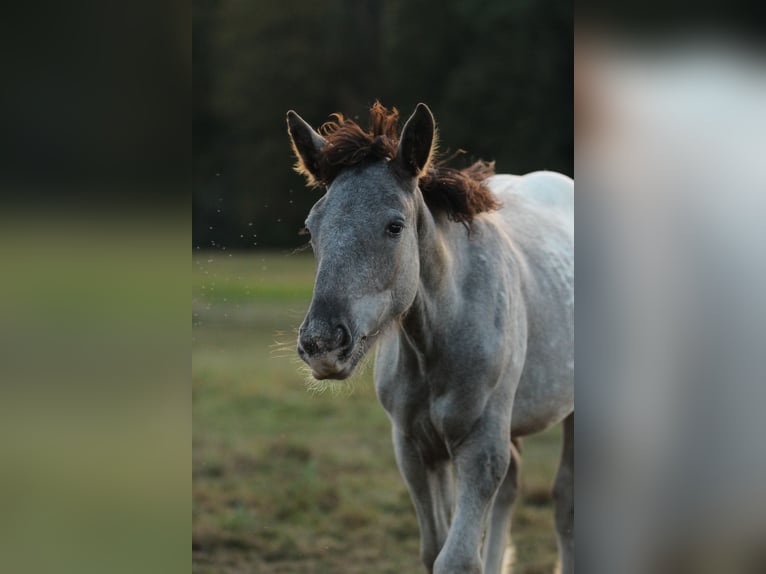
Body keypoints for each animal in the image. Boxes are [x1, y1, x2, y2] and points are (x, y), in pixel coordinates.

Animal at [284, 103, 572, 574]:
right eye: (311, 228)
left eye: (395, 226)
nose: (322, 344)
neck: (438, 337)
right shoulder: (415, 449)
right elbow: (434, 547)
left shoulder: (480, 449)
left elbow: (457, 558)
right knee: (512, 491)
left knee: (564, 502)